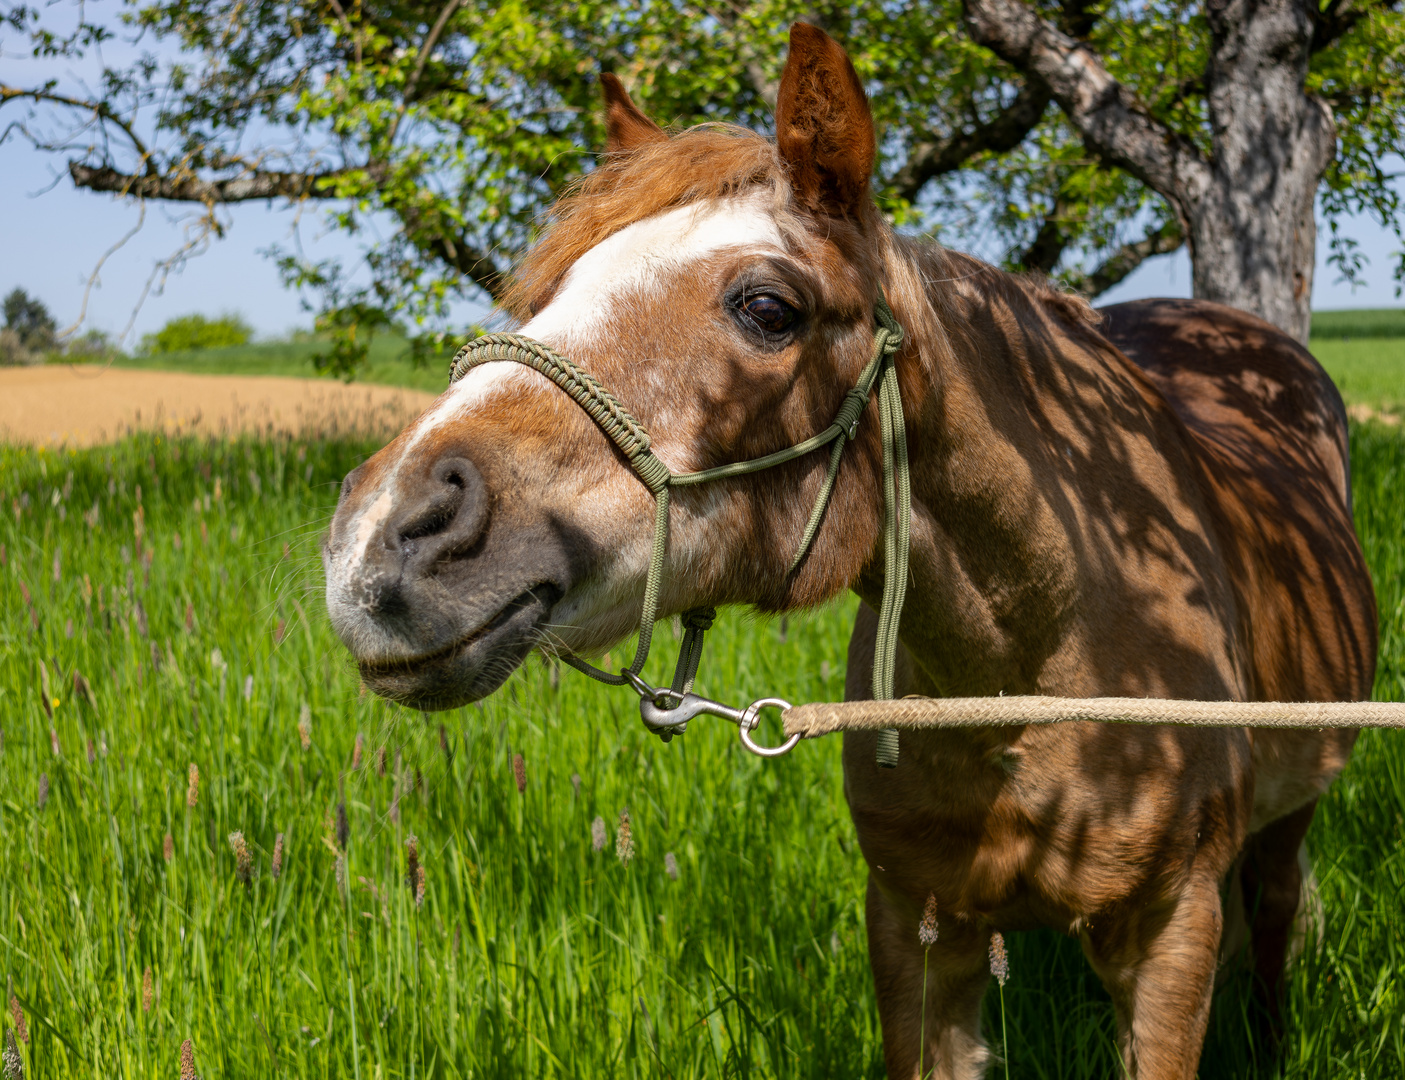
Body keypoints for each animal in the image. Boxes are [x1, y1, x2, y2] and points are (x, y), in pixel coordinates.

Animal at [323, 21, 1376, 1072]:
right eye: (553, 290)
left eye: (767, 308)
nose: (383, 533)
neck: (1040, 670)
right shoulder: (915, 923)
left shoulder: (1169, 932)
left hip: (1285, 829)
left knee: (1273, 919)